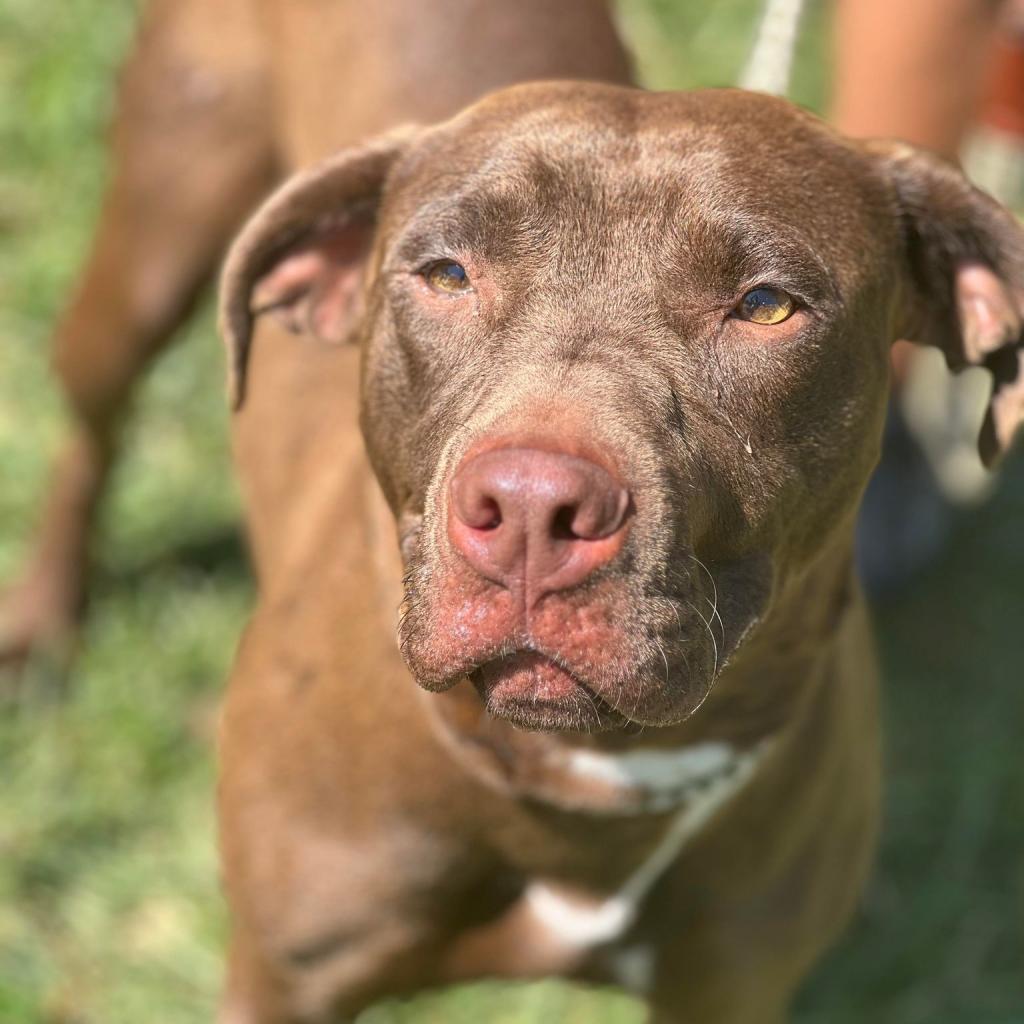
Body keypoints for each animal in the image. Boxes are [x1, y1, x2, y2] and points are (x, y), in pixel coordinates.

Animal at [214, 28, 1024, 1024]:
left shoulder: (732, 989)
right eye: (446, 274)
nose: (531, 508)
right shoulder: (283, 981)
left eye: (766, 305)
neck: (583, 774)